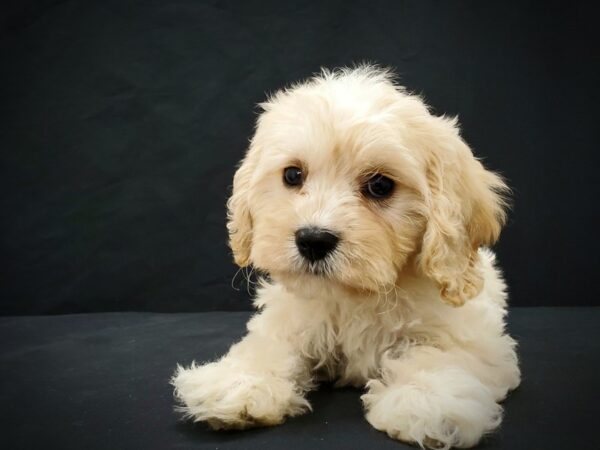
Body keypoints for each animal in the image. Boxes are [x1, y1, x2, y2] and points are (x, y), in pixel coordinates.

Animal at [172, 67, 520, 450]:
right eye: (293, 175)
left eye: (380, 186)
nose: (313, 240)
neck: (356, 296)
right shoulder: (290, 317)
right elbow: (267, 345)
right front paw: (241, 382)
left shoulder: (475, 337)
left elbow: (441, 355)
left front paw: (427, 400)